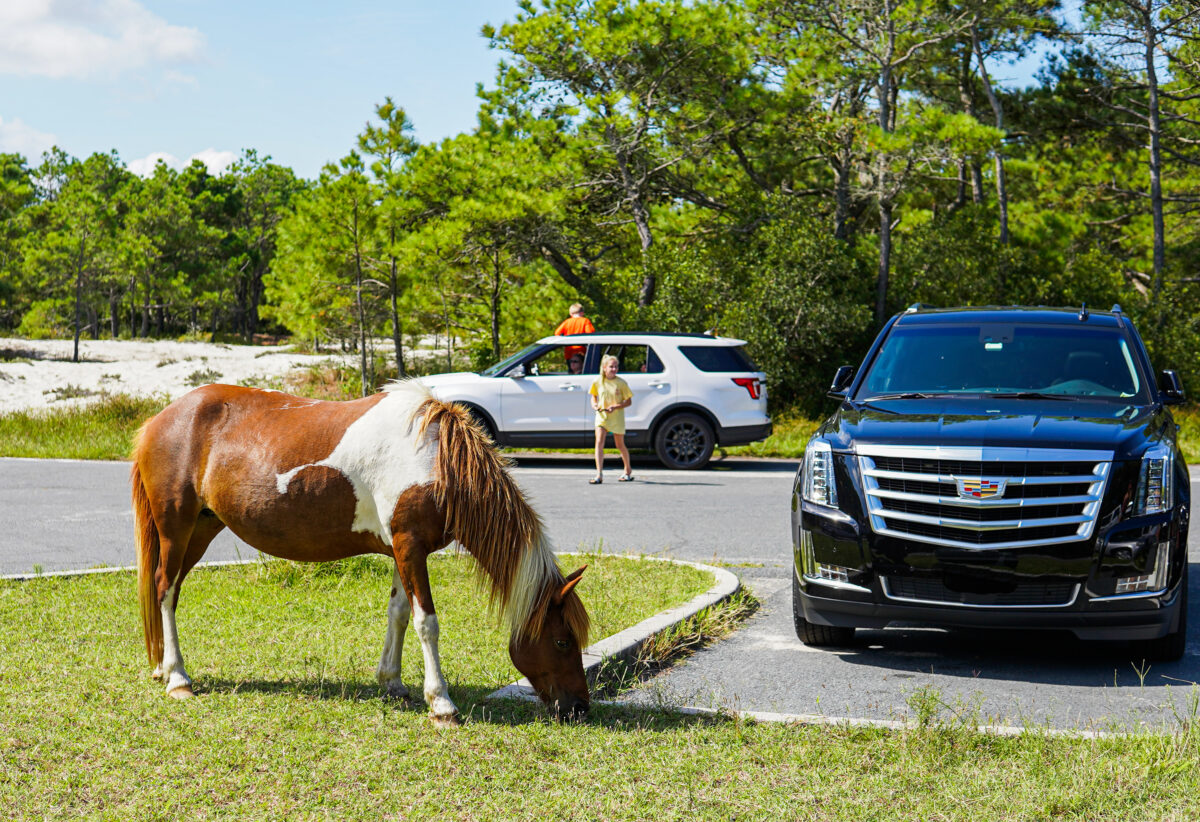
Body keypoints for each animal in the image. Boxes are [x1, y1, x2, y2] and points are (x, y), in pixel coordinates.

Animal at [130, 381, 590, 720]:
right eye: (563, 641)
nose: (579, 708)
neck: (435, 460)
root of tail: (160, 419)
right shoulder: (410, 547)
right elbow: (427, 622)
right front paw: (441, 703)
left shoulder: (404, 550)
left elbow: (399, 614)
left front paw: (393, 682)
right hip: (176, 528)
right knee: (166, 589)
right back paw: (178, 679)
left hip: (203, 527)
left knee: (169, 589)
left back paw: (162, 668)